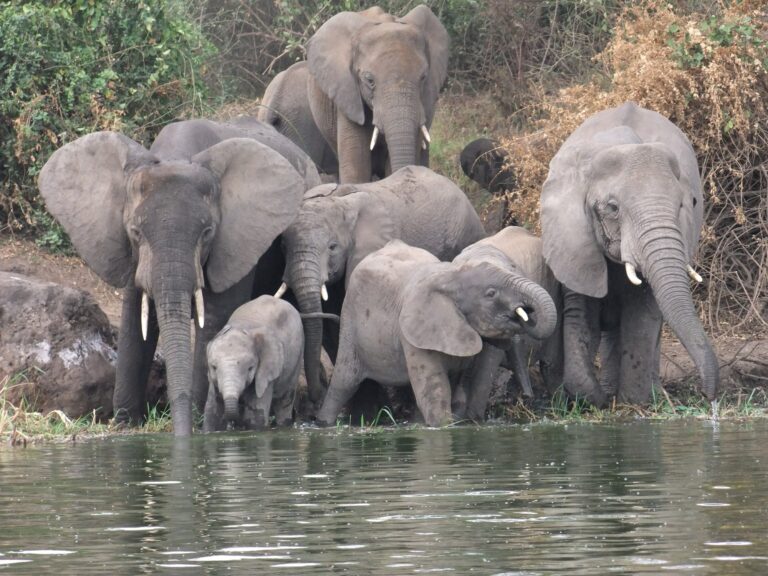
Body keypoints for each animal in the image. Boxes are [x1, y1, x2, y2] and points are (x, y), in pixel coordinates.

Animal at [203, 296, 303, 431]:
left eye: (250, 368)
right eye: (214, 367)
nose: (231, 422)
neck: (241, 327)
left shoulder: (264, 372)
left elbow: (255, 417)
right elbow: (211, 413)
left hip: (298, 356)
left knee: (284, 402)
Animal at [316, 240, 558, 427]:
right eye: (491, 294)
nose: (528, 397)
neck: (452, 276)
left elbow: (460, 390)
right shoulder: (414, 332)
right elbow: (436, 391)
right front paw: (442, 426)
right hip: (350, 320)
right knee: (344, 382)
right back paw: (324, 423)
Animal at [540, 101, 719, 406]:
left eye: (687, 204)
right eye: (612, 208)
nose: (710, 396)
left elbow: (641, 316)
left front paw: (633, 403)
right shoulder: (573, 240)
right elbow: (583, 315)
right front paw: (597, 398)